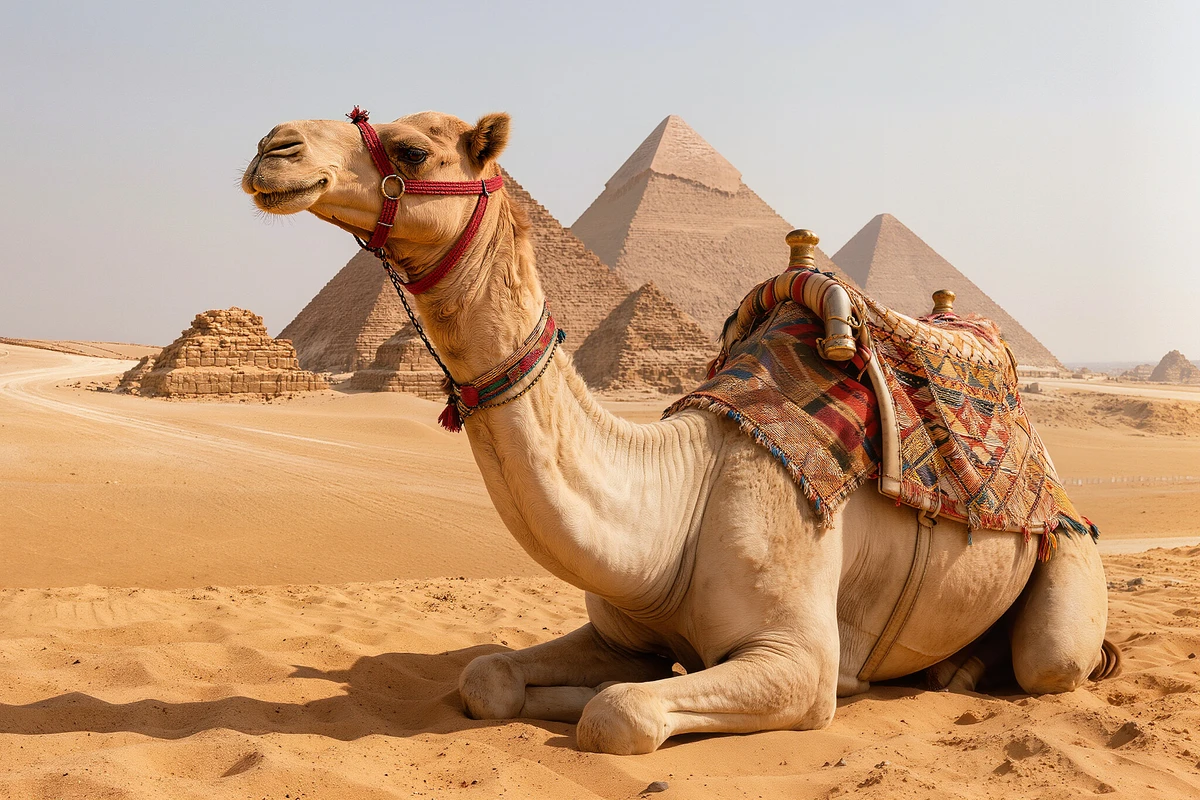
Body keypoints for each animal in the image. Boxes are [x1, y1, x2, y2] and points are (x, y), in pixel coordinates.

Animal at [241, 109, 1113, 755]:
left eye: (411, 147)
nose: (271, 147)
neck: (678, 497)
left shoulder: (799, 661)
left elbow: (620, 712)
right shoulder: (620, 629)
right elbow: (492, 678)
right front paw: (563, 687)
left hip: (1066, 568)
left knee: (1050, 660)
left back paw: (968, 674)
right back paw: (956, 672)